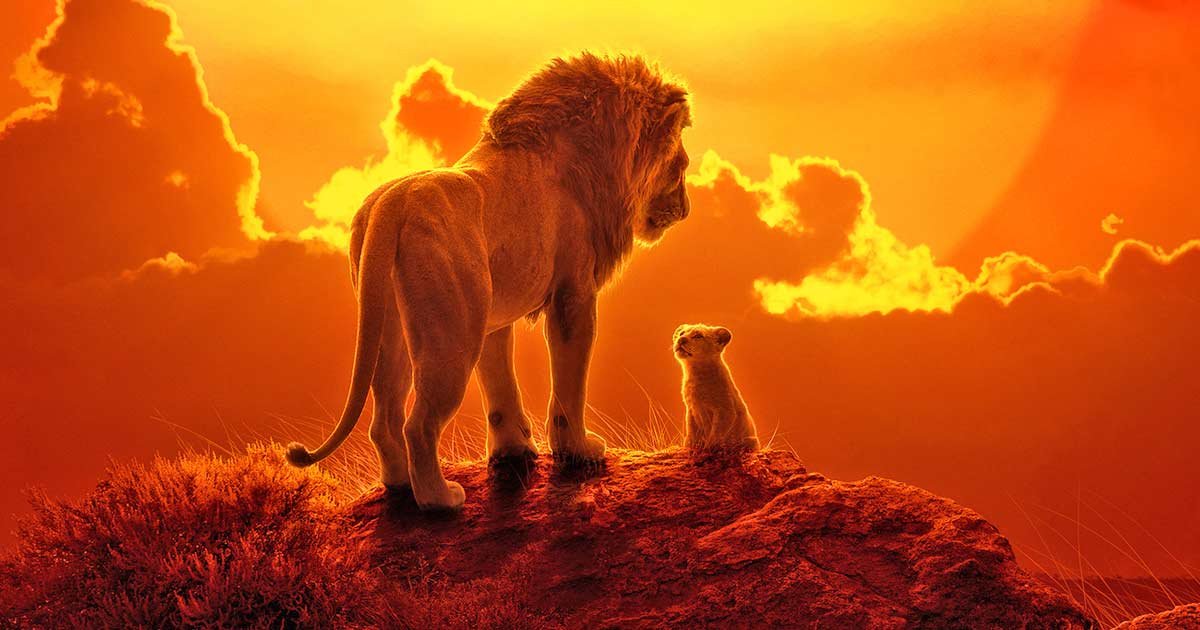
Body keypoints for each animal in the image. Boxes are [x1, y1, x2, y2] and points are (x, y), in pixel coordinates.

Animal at [285, 53, 692, 510]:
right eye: (681, 168)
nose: (686, 209)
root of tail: (393, 204)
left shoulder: (493, 315)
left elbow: (500, 385)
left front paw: (513, 451)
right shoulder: (573, 294)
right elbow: (569, 384)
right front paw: (579, 451)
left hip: (391, 328)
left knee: (385, 419)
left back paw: (400, 486)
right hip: (452, 336)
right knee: (418, 425)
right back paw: (440, 499)